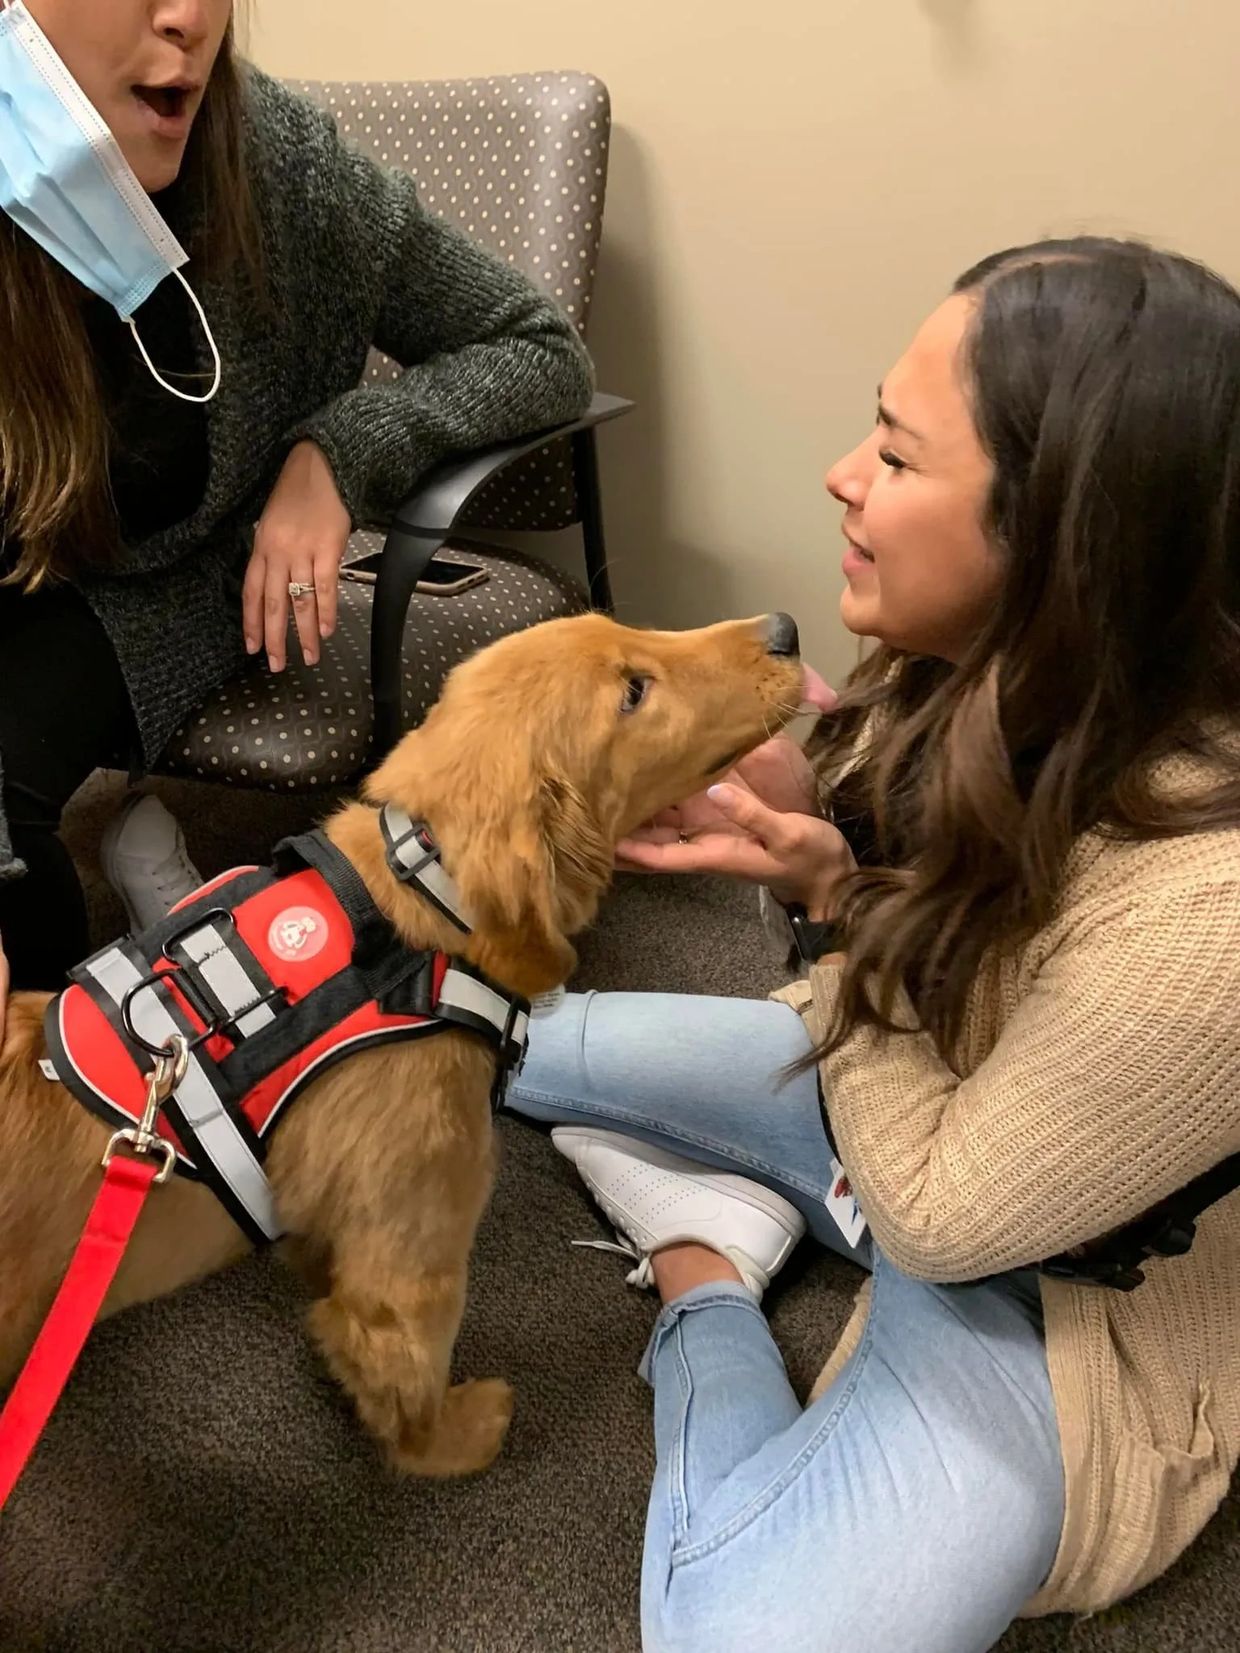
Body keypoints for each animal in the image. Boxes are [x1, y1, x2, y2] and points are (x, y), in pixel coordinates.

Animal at [0, 614, 810, 1481]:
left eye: (632, 628)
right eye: (633, 691)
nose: (786, 629)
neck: (418, 893)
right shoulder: (409, 1266)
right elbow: (407, 1379)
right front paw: (455, 1436)